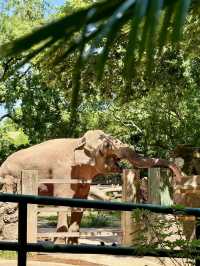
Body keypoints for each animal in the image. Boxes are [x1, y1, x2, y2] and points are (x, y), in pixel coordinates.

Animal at [0, 130, 182, 244]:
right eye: (106, 146)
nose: (178, 176)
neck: (78, 141)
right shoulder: (63, 172)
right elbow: (62, 200)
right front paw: (59, 244)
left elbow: (80, 203)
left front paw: (73, 245)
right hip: (9, 178)